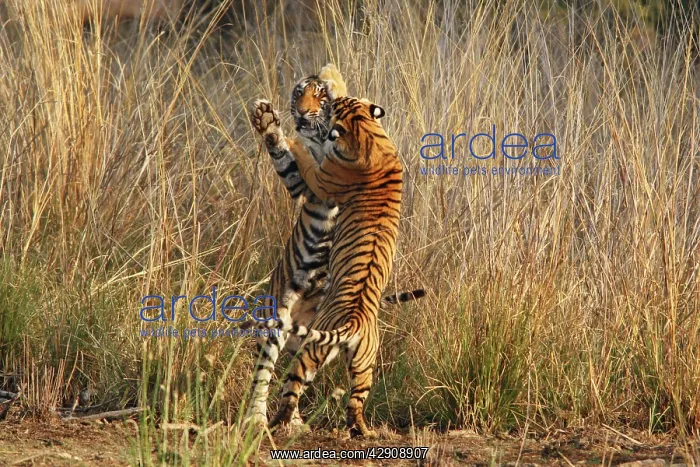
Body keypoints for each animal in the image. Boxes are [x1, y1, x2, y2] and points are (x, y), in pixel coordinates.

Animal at [247, 66, 423, 428]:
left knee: (291, 381)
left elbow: (296, 155)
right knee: (268, 376)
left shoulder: (314, 181)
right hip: (282, 323)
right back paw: (269, 419)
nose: (302, 113)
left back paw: (284, 421)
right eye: (299, 92)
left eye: (320, 97)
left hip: (309, 341)